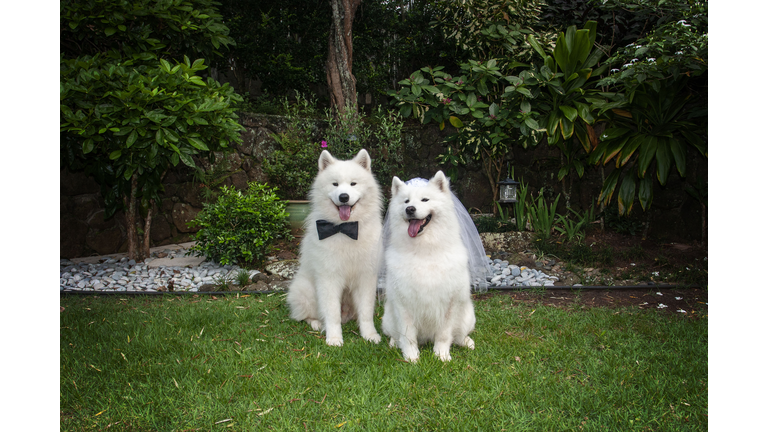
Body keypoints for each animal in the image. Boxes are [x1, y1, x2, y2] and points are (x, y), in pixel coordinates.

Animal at [286, 150, 382, 346]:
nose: (344, 196)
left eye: (353, 183)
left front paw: (369, 335)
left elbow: (366, 312)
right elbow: (332, 313)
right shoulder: (329, 278)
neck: (344, 228)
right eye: (335, 184)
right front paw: (334, 338)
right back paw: (317, 324)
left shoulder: (366, 278)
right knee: (307, 315)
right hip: (307, 291)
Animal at [380, 170, 492, 362]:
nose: (410, 209)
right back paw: (395, 343)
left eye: (425, 200)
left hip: (468, 316)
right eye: (406, 201)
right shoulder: (403, 304)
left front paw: (441, 355)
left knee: (459, 335)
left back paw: (467, 342)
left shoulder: (449, 304)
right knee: (395, 334)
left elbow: (444, 335)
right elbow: (408, 336)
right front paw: (411, 357)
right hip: (388, 317)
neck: (424, 251)